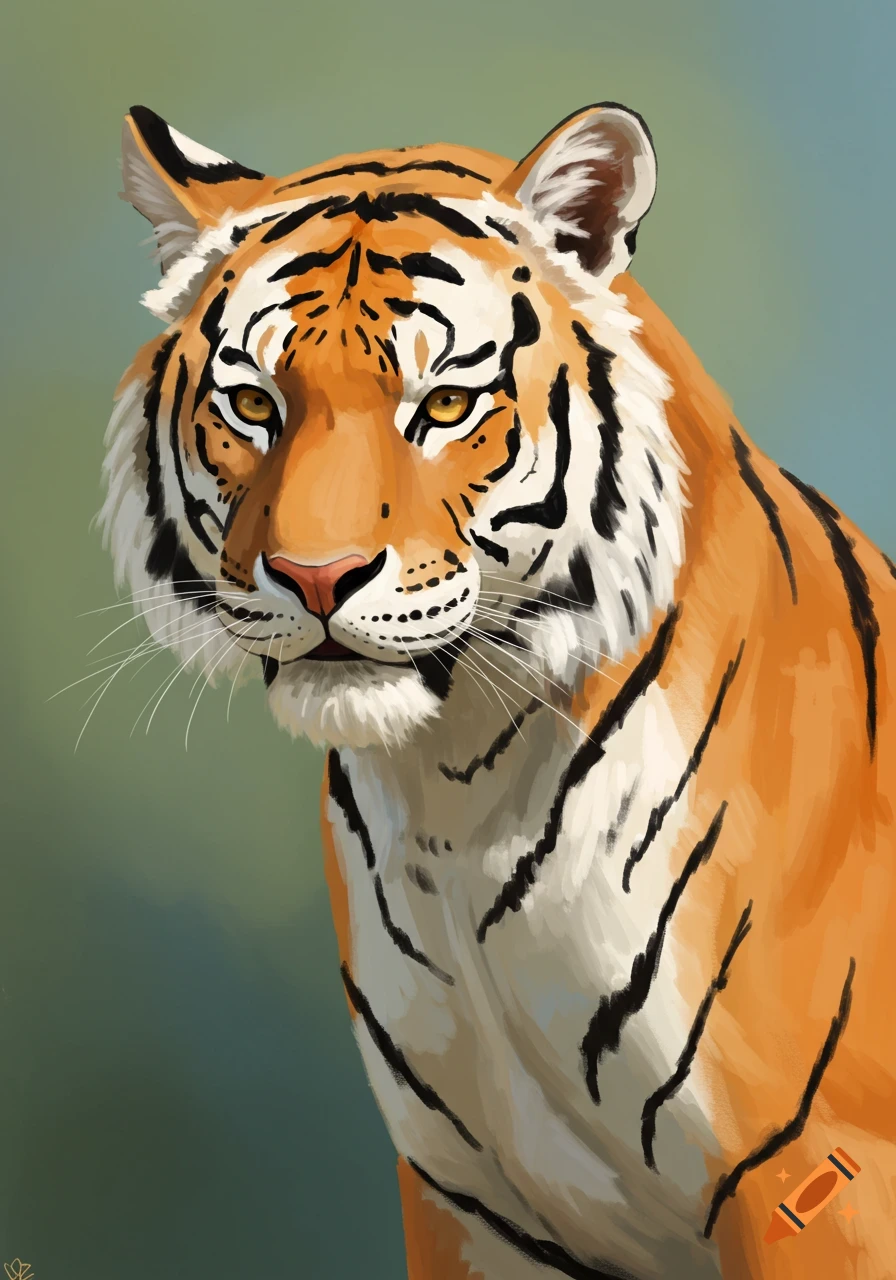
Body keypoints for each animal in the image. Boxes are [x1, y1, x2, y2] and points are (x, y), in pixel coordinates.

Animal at [101, 101, 896, 1279]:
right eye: (252, 402)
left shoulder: (820, 1177)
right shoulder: (469, 1202)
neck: (456, 791)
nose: (316, 576)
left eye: (443, 404)